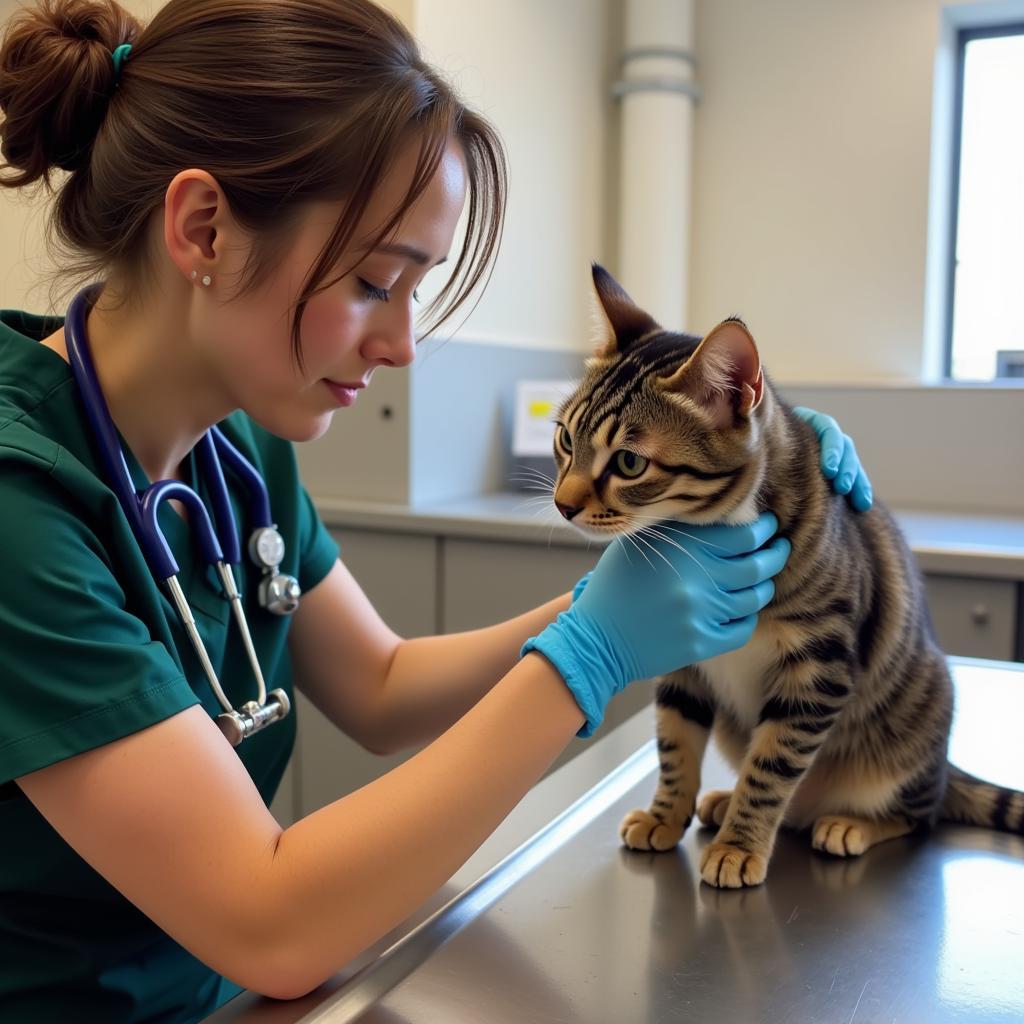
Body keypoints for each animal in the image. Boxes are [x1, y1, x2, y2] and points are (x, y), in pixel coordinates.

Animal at [552, 264, 1024, 888]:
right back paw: (722, 802)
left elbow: (772, 767)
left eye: (629, 463)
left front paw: (740, 845)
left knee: (917, 814)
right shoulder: (681, 656)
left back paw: (849, 823)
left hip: (916, 727)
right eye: (564, 439)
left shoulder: (818, 670)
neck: (701, 533)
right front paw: (666, 815)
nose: (562, 505)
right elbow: (675, 746)